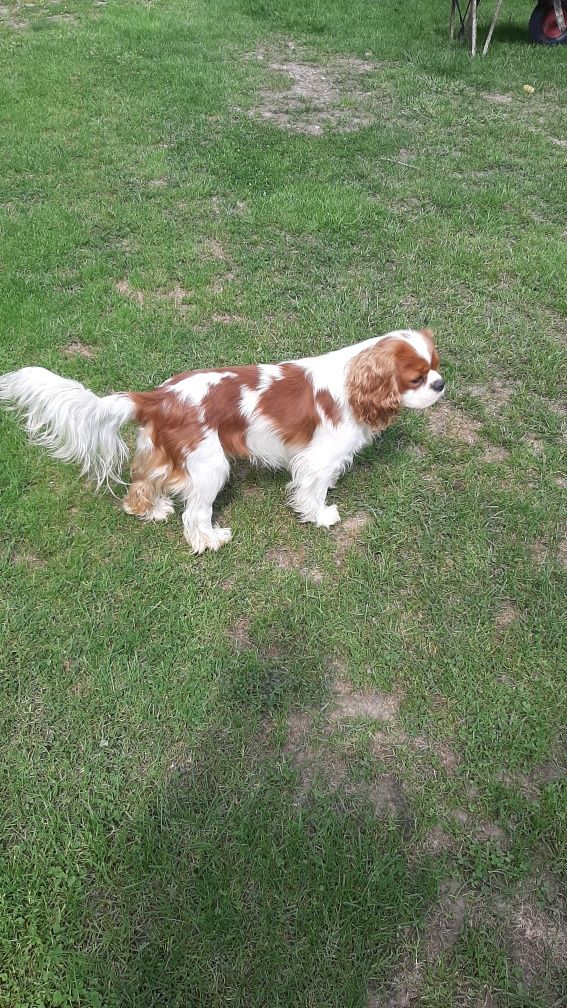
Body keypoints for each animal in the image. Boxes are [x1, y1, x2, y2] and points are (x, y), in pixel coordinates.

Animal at [0, 328, 441, 552]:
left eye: (437, 366)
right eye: (416, 378)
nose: (440, 384)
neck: (356, 381)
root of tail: (158, 397)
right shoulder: (317, 457)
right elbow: (312, 490)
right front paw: (322, 516)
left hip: (161, 453)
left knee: (142, 483)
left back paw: (152, 510)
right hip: (211, 465)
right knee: (194, 515)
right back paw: (210, 540)